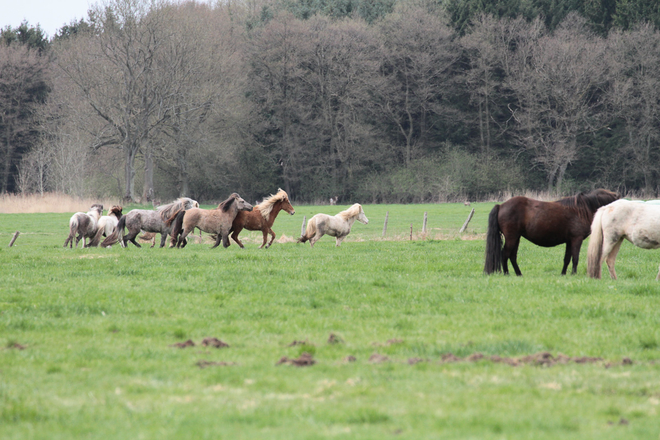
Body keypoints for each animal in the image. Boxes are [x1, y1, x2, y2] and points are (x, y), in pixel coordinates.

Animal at [484, 188, 620, 276]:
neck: (581, 210)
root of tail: (500, 206)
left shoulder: (569, 241)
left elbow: (567, 258)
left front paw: (563, 273)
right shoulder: (577, 239)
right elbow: (575, 258)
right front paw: (573, 274)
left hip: (516, 238)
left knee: (512, 256)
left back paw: (518, 273)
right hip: (512, 237)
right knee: (505, 254)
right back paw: (507, 273)